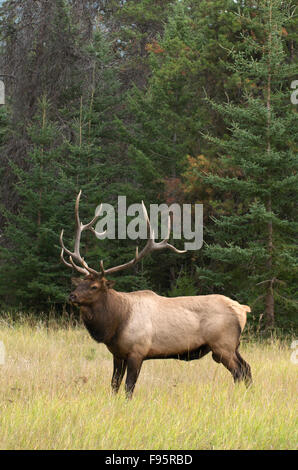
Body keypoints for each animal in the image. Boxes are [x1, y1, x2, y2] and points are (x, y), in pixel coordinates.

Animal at [60, 193, 251, 398]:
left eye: (94, 286)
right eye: (80, 283)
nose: (72, 296)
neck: (116, 323)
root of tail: (243, 309)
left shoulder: (138, 351)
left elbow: (129, 387)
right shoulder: (117, 353)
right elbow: (114, 385)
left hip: (223, 344)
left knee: (239, 372)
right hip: (233, 346)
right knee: (247, 369)